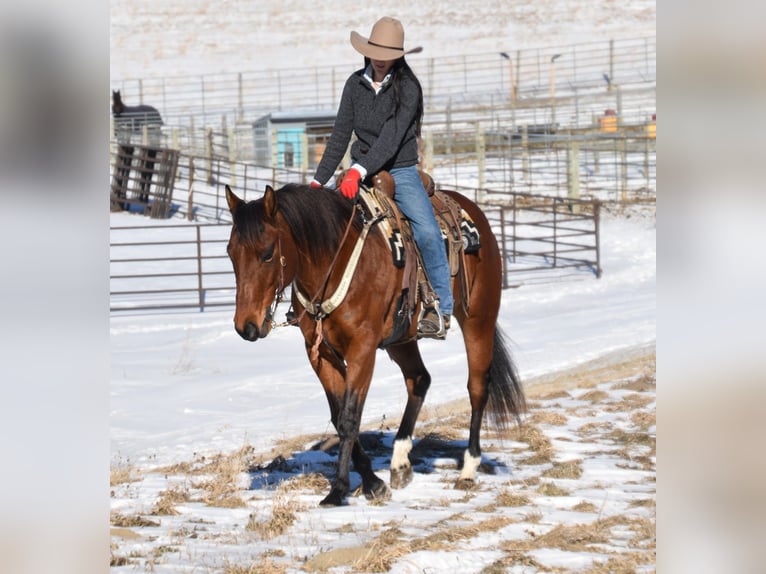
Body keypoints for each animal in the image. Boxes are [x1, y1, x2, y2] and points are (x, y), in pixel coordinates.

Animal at [225, 181, 526, 506]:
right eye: (230, 253)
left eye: (267, 253)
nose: (246, 326)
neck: (334, 262)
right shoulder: (319, 354)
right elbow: (338, 415)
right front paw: (372, 481)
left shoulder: (362, 349)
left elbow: (349, 417)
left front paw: (339, 489)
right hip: (402, 338)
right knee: (419, 379)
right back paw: (400, 461)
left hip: (478, 319)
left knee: (477, 388)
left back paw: (468, 469)